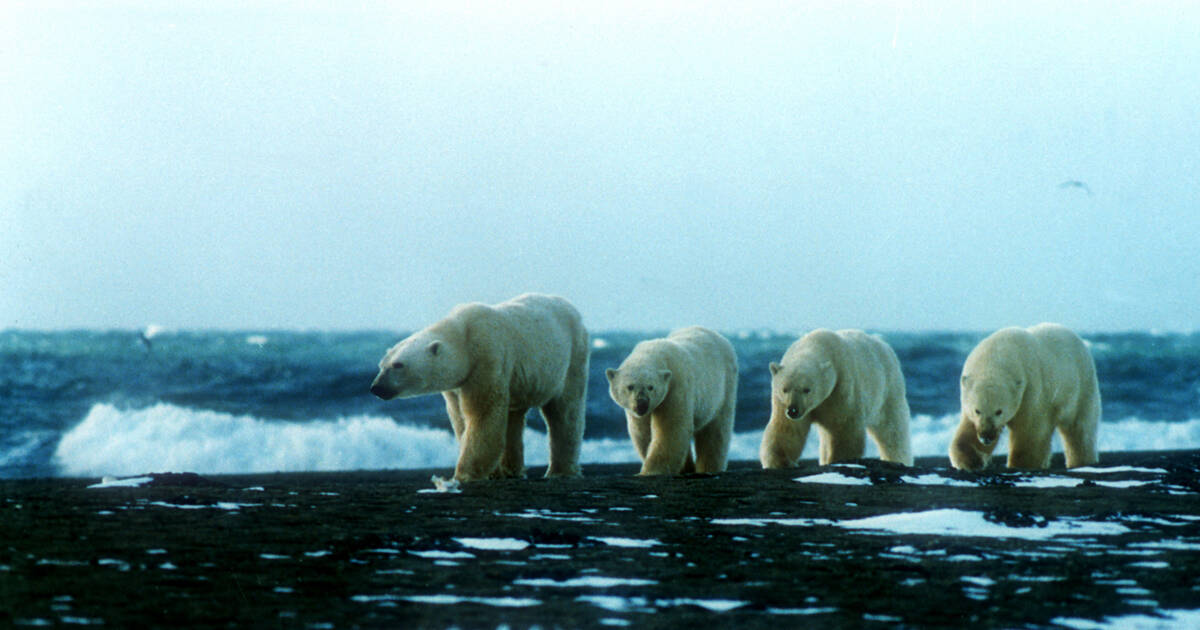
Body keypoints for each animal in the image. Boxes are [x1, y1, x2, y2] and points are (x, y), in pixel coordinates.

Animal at [367, 295, 588, 482]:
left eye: (398, 365)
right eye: (381, 365)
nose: (376, 388)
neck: (462, 335)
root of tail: (573, 309)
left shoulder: (486, 359)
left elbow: (482, 414)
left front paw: (464, 474)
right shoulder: (456, 385)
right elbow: (460, 417)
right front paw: (492, 472)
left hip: (571, 358)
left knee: (565, 412)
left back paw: (560, 471)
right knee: (514, 415)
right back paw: (511, 471)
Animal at [604, 326, 734, 475]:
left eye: (651, 387)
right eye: (630, 386)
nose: (642, 404)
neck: (655, 352)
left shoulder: (675, 387)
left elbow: (670, 429)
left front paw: (652, 471)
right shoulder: (637, 413)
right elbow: (643, 432)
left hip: (724, 388)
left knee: (715, 431)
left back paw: (709, 468)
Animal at [753, 328, 912, 465]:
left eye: (807, 389)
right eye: (785, 389)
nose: (793, 410)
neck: (817, 344)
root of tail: (887, 347)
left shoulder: (841, 387)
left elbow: (844, 428)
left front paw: (839, 459)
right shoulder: (781, 402)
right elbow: (787, 428)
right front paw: (782, 462)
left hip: (887, 391)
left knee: (891, 429)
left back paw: (898, 459)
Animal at [950, 321, 1099, 468]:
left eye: (999, 411)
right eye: (977, 410)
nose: (986, 437)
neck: (997, 356)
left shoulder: (1031, 390)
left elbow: (1029, 432)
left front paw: (1021, 464)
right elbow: (969, 430)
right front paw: (971, 460)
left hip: (1082, 386)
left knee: (1080, 429)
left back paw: (1081, 461)